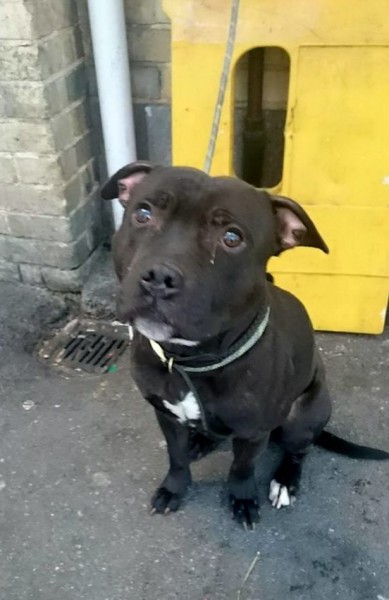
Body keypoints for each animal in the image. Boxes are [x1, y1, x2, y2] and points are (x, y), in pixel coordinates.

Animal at [101, 162, 388, 528]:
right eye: (143, 213)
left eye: (232, 238)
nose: (158, 278)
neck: (191, 359)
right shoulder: (166, 415)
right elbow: (176, 456)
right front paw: (174, 487)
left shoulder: (253, 433)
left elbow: (242, 467)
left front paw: (241, 498)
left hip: (303, 415)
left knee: (299, 450)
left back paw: (285, 480)